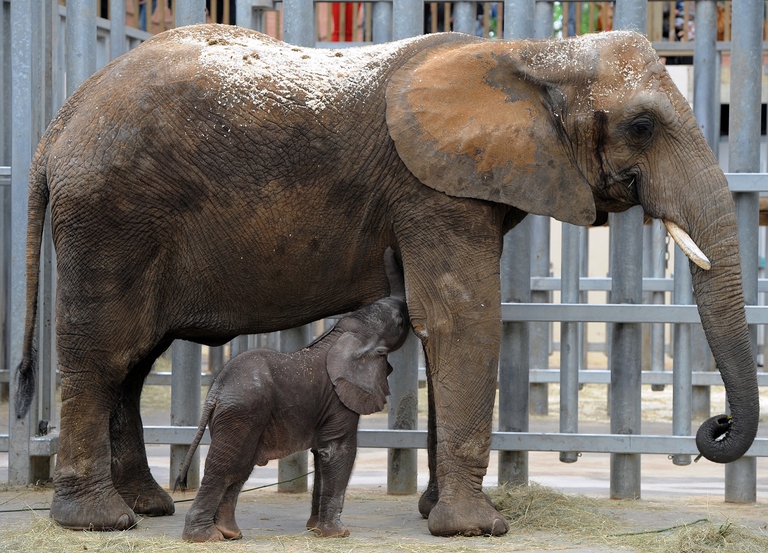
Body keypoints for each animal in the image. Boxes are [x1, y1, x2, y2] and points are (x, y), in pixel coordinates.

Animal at [175, 247, 409, 542]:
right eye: (400, 321)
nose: (391, 249)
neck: (348, 333)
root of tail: (215, 390)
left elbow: (321, 454)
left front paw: (316, 529)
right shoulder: (338, 399)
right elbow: (338, 451)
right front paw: (339, 534)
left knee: (240, 466)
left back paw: (231, 533)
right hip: (242, 410)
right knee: (225, 467)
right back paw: (205, 537)